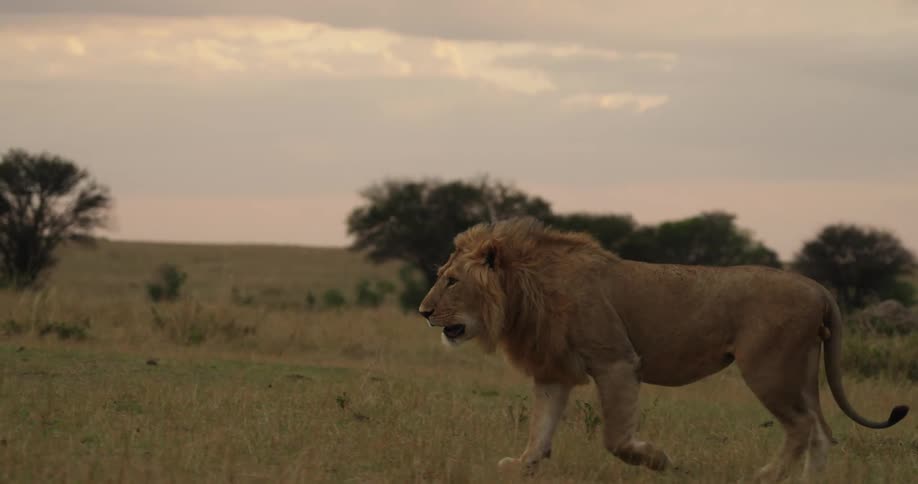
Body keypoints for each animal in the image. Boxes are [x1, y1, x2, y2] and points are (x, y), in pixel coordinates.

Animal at [418, 217, 909, 481]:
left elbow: (616, 439)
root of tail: (819, 289)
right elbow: (540, 430)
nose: (423, 312)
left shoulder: (616, 360)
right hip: (801, 373)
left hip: (769, 368)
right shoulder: (554, 371)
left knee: (803, 428)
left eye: (452, 281)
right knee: (821, 432)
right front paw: (519, 466)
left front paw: (658, 460)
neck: (525, 289)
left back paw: (762, 477)